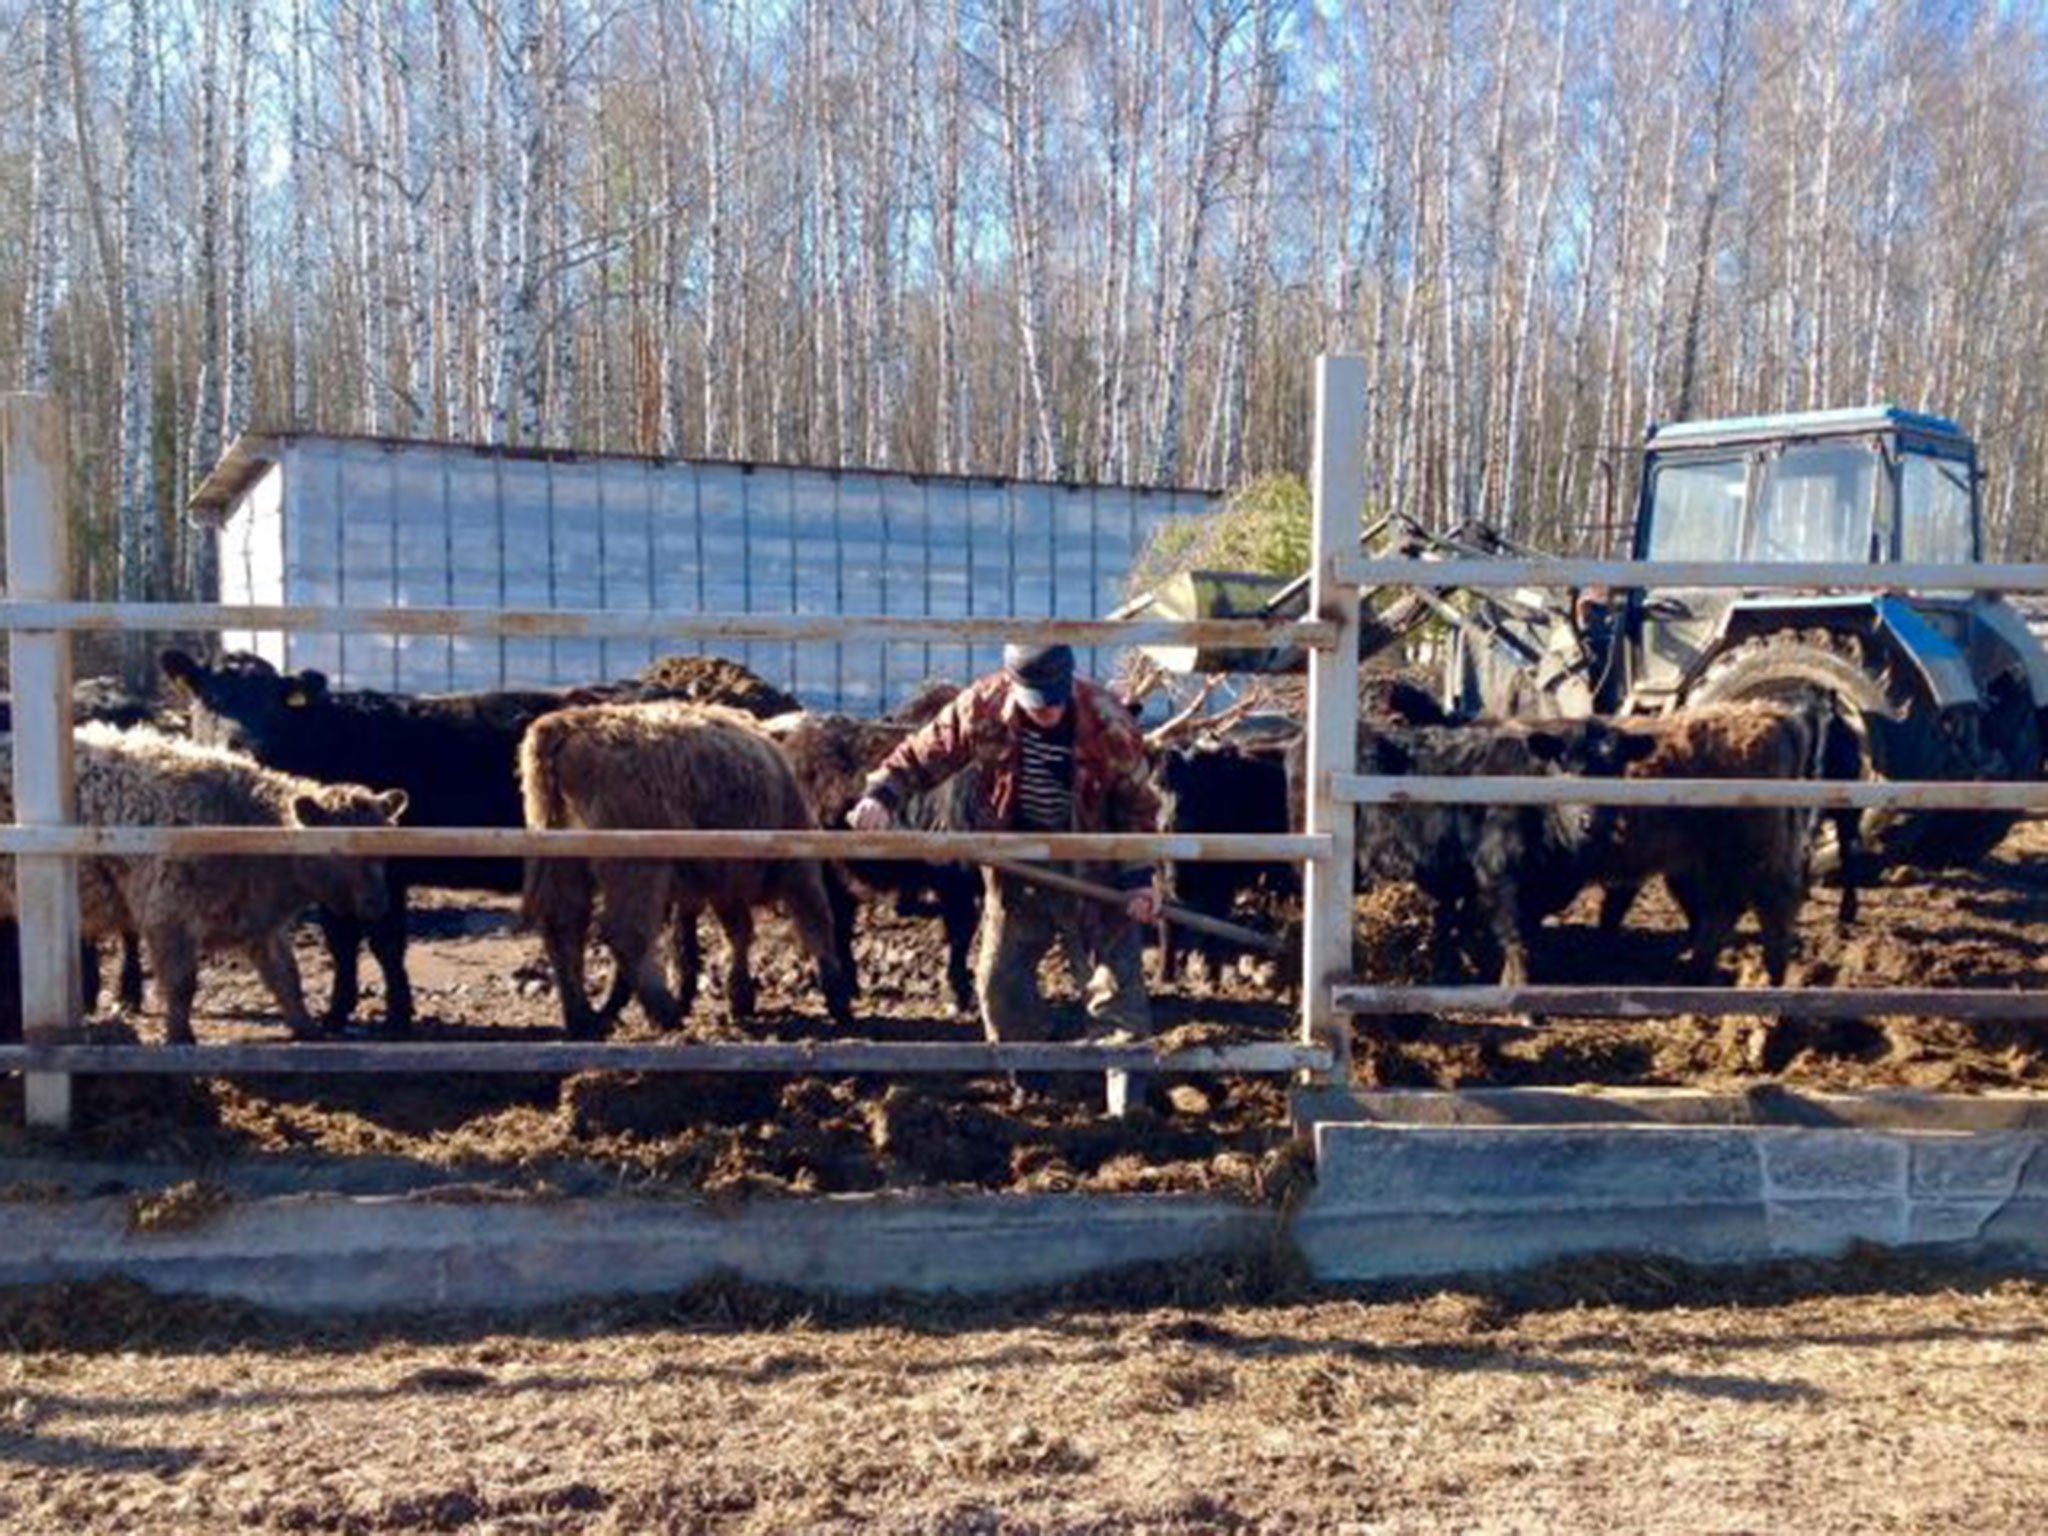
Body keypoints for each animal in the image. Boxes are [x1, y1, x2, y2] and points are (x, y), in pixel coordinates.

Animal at [0, 724, 407, 1048]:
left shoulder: (261, 924)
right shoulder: (168, 915)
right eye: (335, 846)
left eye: (386, 845)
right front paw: (180, 1038)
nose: (377, 902)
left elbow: (286, 978)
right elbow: (182, 984)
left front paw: (308, 1029)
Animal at [528, 704, 856, 1040]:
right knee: (625, 932)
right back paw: (665, 1012)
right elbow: (816, 925)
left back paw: (582, 1018)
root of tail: (568, 723)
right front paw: (838, 997)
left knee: (564, 927)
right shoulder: (798, 869)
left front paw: (740, 997)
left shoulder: (722, 884)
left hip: (565, 867)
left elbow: (739, 931)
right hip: (638, 870)